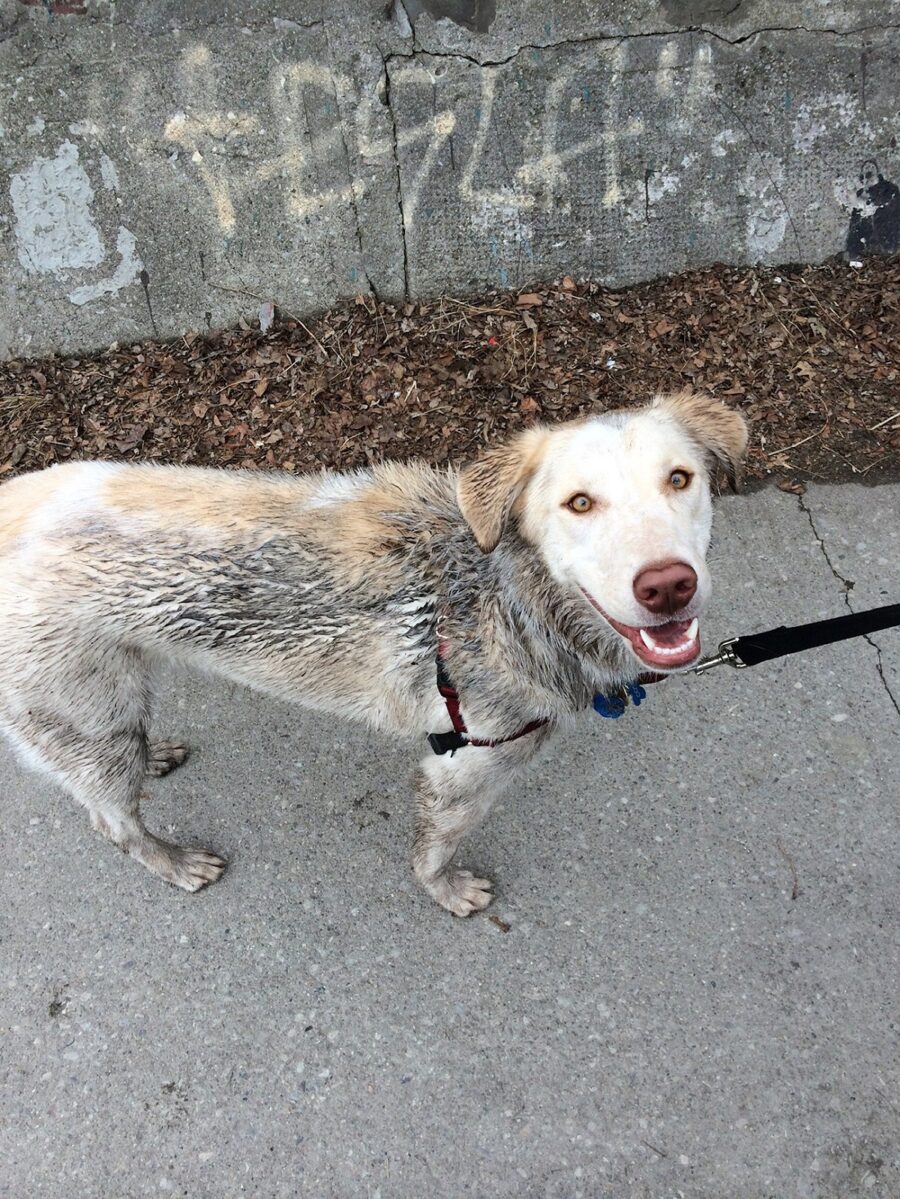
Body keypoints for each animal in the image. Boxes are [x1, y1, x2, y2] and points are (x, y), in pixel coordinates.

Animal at [0, 388, 747, 911]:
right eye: (580, 503)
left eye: (680, 479)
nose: (667, 586)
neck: (505, 589)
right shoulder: (465, 767)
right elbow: (435, 847)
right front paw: (445, 892)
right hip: (81, 711)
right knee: (112, 820)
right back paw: (173, 861)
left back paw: (154, 753)